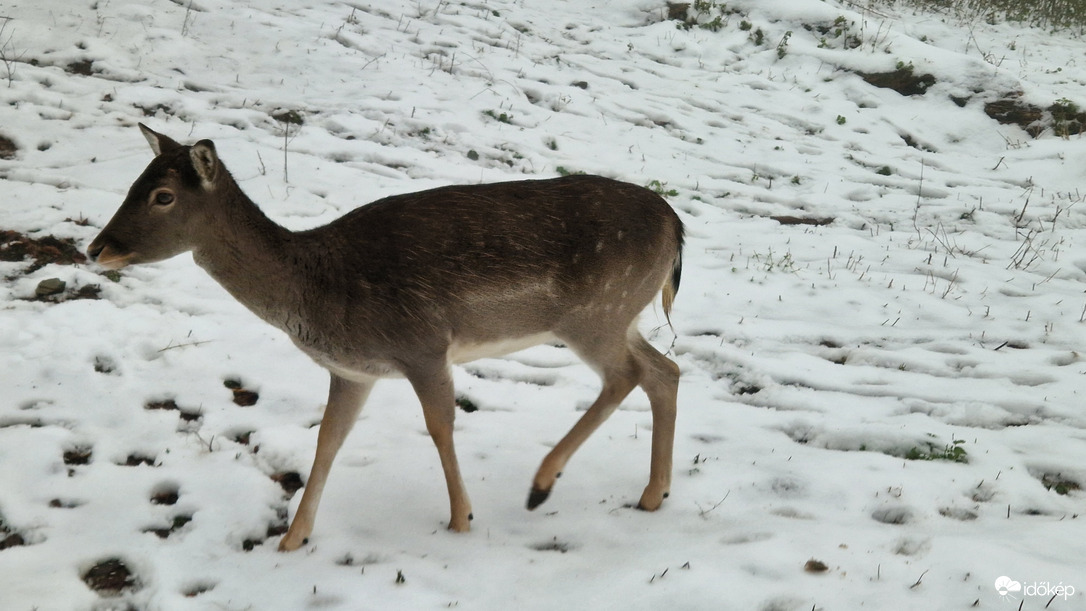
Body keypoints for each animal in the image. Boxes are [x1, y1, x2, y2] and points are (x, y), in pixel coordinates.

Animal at [89, 124, 682, 555]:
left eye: (163, 196)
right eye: (134, 183)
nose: (97, 248)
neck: (318, 291)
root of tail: (676, 227)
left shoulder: (423, 344)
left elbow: (440, 427)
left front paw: (461, 522)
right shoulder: (352, 372)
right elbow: (328, 440)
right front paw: (291, 541)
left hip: (594, 314)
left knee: (629, 375)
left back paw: (541, 487)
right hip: (622, 316)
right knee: (665, 371)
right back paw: (652, 496)